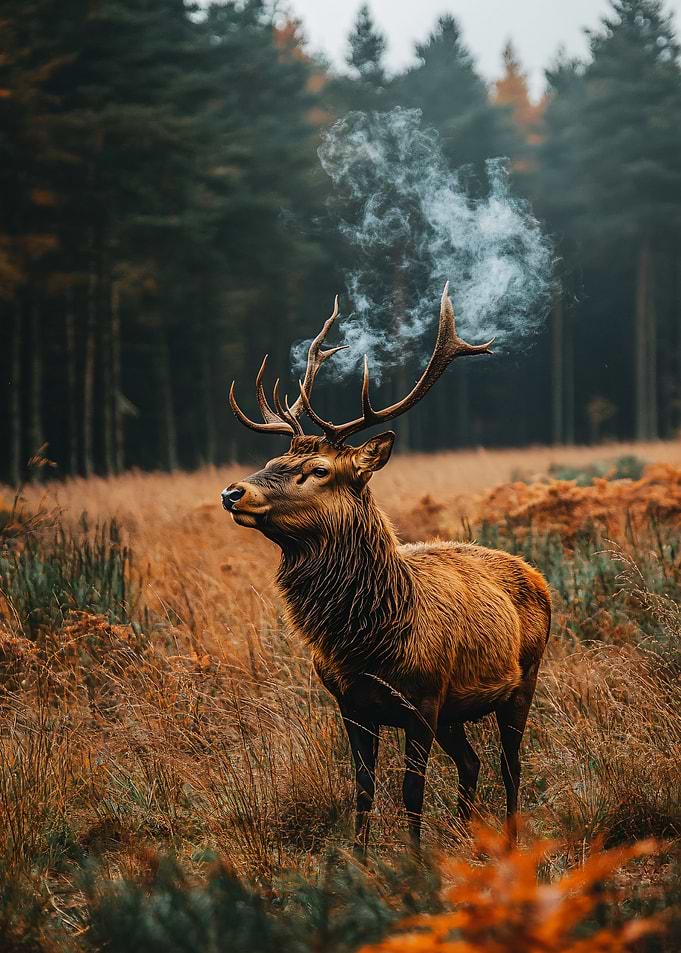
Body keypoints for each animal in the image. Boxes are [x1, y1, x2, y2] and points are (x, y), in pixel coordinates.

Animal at [222, 283, 551, 857]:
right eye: (274, 459)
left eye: (318, 470)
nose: (233, 491)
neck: (369, 637)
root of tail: (539, 578)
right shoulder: (352, 703)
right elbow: (364, 790)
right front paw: (358, 859)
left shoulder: (422, 699)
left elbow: (410, 792)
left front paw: (415, 861)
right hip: (457, 711)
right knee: (472, 762)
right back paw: (467, 835)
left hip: (522, 680)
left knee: (511, 766)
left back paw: (507, 842)